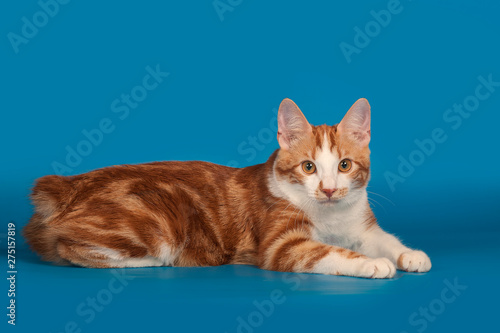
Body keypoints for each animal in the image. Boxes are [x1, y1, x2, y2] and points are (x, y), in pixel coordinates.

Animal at [23, 98, 430, 278]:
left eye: (344, 166)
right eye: (309, 167)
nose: (329, 190)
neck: (330, 217)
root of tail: (68, 185)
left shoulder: (362, 227)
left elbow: (385, 240)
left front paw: (409, 255)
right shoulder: (282, 245)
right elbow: (328, 253)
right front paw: (371, 263)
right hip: (154, 223)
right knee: (68, 247)